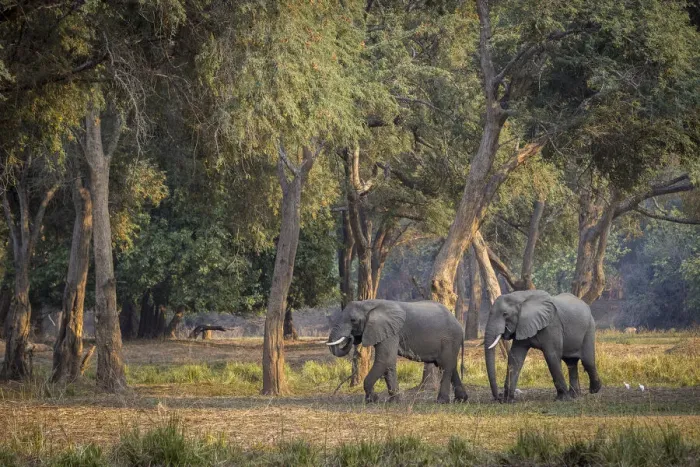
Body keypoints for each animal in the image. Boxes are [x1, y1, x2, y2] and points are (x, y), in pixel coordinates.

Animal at [326, 299, 468, 404]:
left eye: (353, 320)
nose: (350, 337)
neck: (369, 303)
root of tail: (459, 324)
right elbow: (388, 364)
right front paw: (394, 401)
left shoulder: (391, 332)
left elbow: (384, 360)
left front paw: (373, 400)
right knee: (450, 366)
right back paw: (461, 400)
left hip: (450, 340)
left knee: (446, 366)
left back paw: (442, 402)